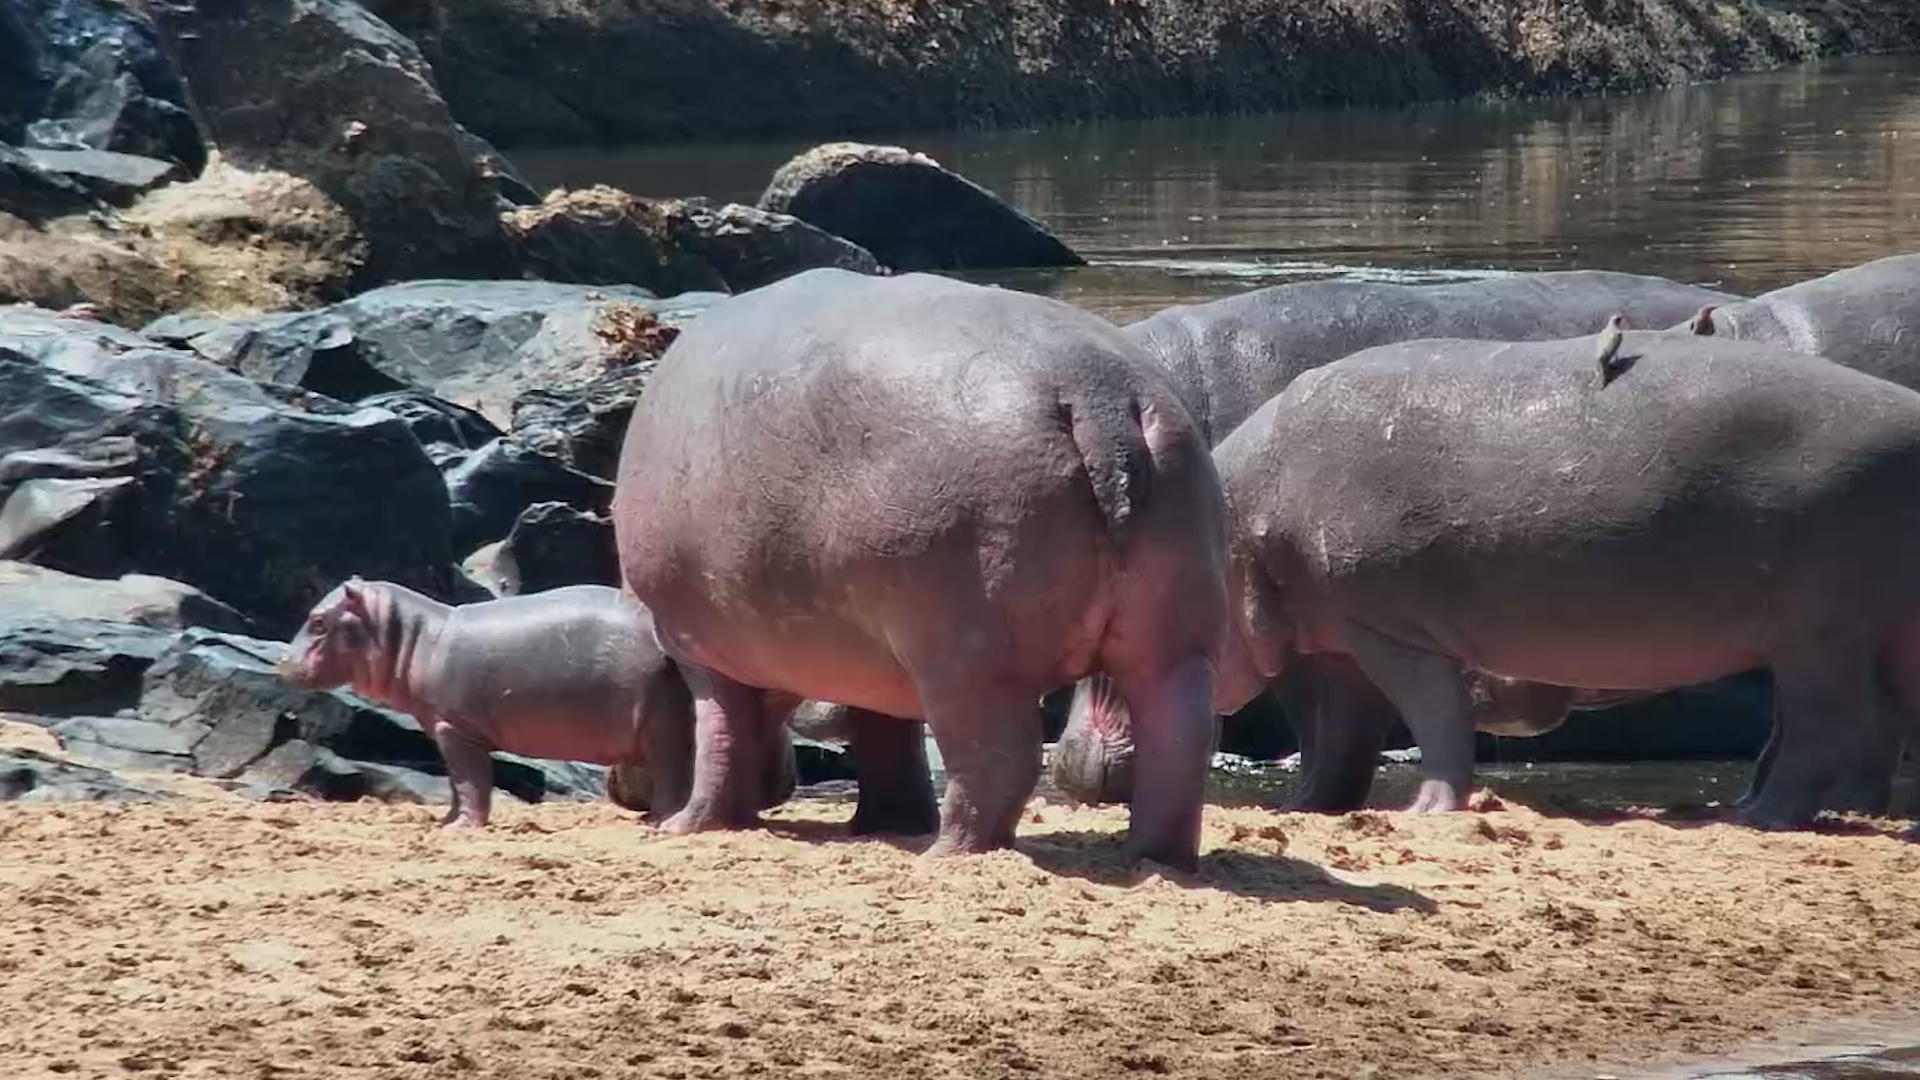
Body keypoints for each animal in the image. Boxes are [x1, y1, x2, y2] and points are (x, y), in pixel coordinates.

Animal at [279, 578, 797, 828]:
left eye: (319, 621)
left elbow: (469, 782)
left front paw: (460, 829)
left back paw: (658, 821)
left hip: (660, 723)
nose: (281, 662)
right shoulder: (440, 729)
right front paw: (444, 822)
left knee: (673, 773)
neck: (411, 638)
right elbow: (455, 787)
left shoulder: (454, 730)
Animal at [612, 268, 1227, 868]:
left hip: (966, 653)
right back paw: (1153, 859)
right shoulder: (870, 656)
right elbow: (884, 736)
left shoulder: (698, 646)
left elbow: (721, 735)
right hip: (1173, 639)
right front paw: (888, 824)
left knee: (999, 757)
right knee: (1178, 740)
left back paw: (946, 853)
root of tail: (1097, 396)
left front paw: (686, 826)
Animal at [1058, 330, 1920, 826]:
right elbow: (1339, 736)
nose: (1067, 766)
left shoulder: (1390, 629)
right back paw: (1843, 811)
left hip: (1818, 631)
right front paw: (1309, 807)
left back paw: (1760, 817)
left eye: (1115, 636)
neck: (1236, 522)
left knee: (1825, 726)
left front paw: (1427, 812)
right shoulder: (1329, 640)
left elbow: (1432, 721)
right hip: (1871, 630)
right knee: (1878, 723)